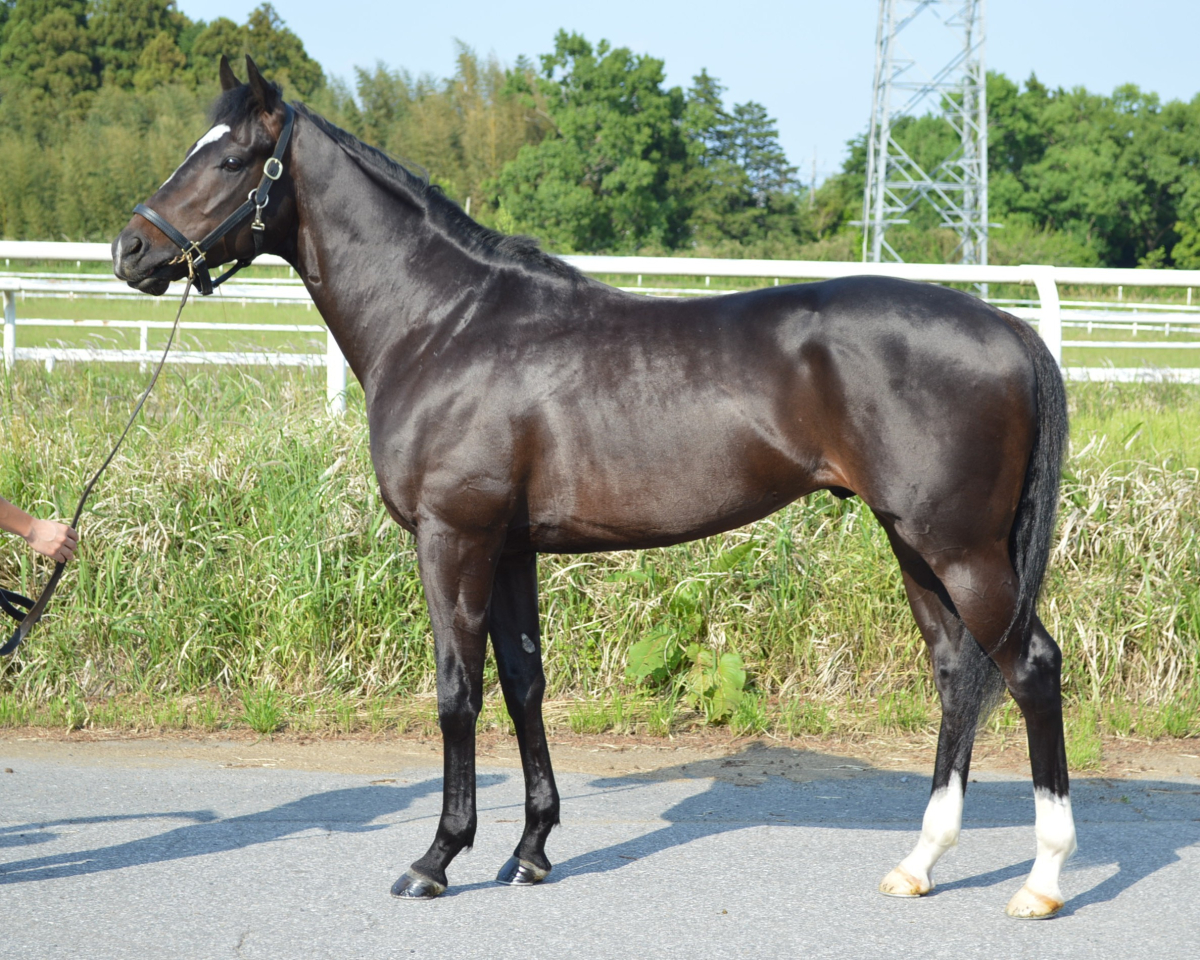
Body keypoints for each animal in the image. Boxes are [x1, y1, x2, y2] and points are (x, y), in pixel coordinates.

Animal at [112, 56, 1075, 918]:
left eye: (231, 160)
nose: (131, 249)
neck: (444, 324)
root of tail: (1010, 329)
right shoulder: (509, 548)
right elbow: (522, 684)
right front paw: (530, 850)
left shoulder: (452, 535)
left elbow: (456, 691)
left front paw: (436, 859)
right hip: (914, 544)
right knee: (956, 673)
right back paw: (919, 863)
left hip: (962, 550)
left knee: (1029, 667)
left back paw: (1041, 881)